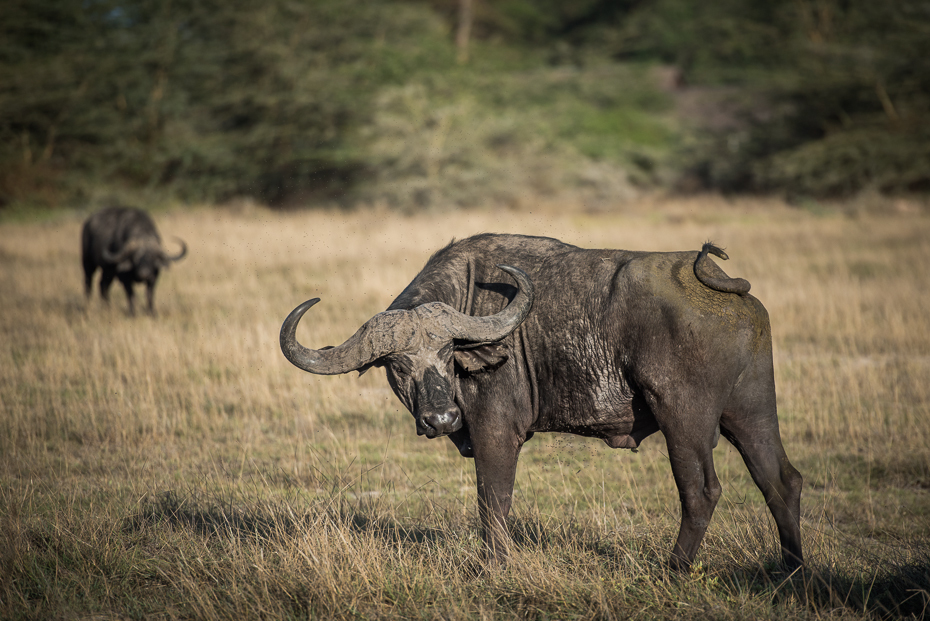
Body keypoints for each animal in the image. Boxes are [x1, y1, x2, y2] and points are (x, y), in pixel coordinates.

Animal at [280, 234, 800, 572]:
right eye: (397, 364)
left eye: (446, 352)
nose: (442, 417)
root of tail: (717, 282)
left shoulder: (496, 433)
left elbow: (493, 501)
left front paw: (495, 568)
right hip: (751, 412)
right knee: (781, 481)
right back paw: (792, 572)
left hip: (684, 420)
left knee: (701, 491)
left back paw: (673, 570)